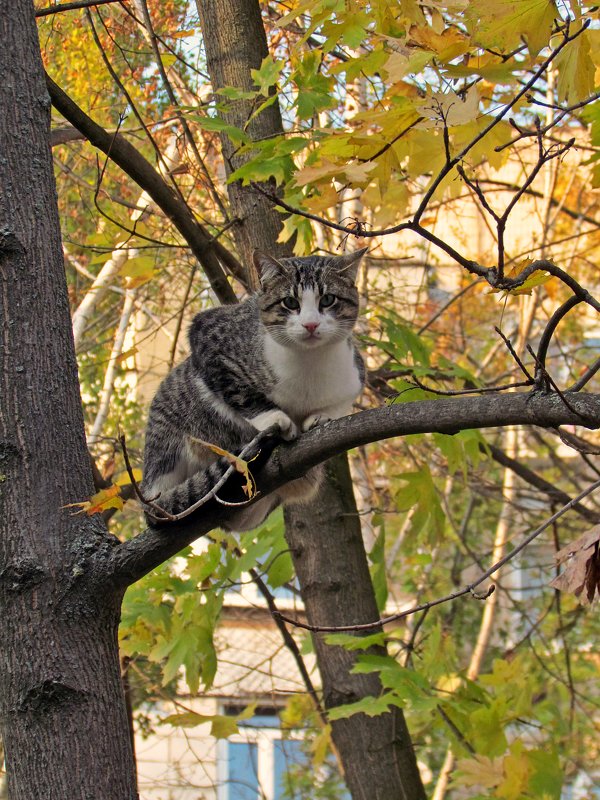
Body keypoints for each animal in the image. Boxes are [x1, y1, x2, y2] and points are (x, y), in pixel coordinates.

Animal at [142, 247, 366, 528]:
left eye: (327, 300)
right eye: (290, 302)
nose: (311, 324)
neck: (309, 362)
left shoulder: (356, 374)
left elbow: (340, 404)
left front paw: (322, 416)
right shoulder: (207, 334)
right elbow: (240, 393)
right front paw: (277, 418)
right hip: (167, 433)